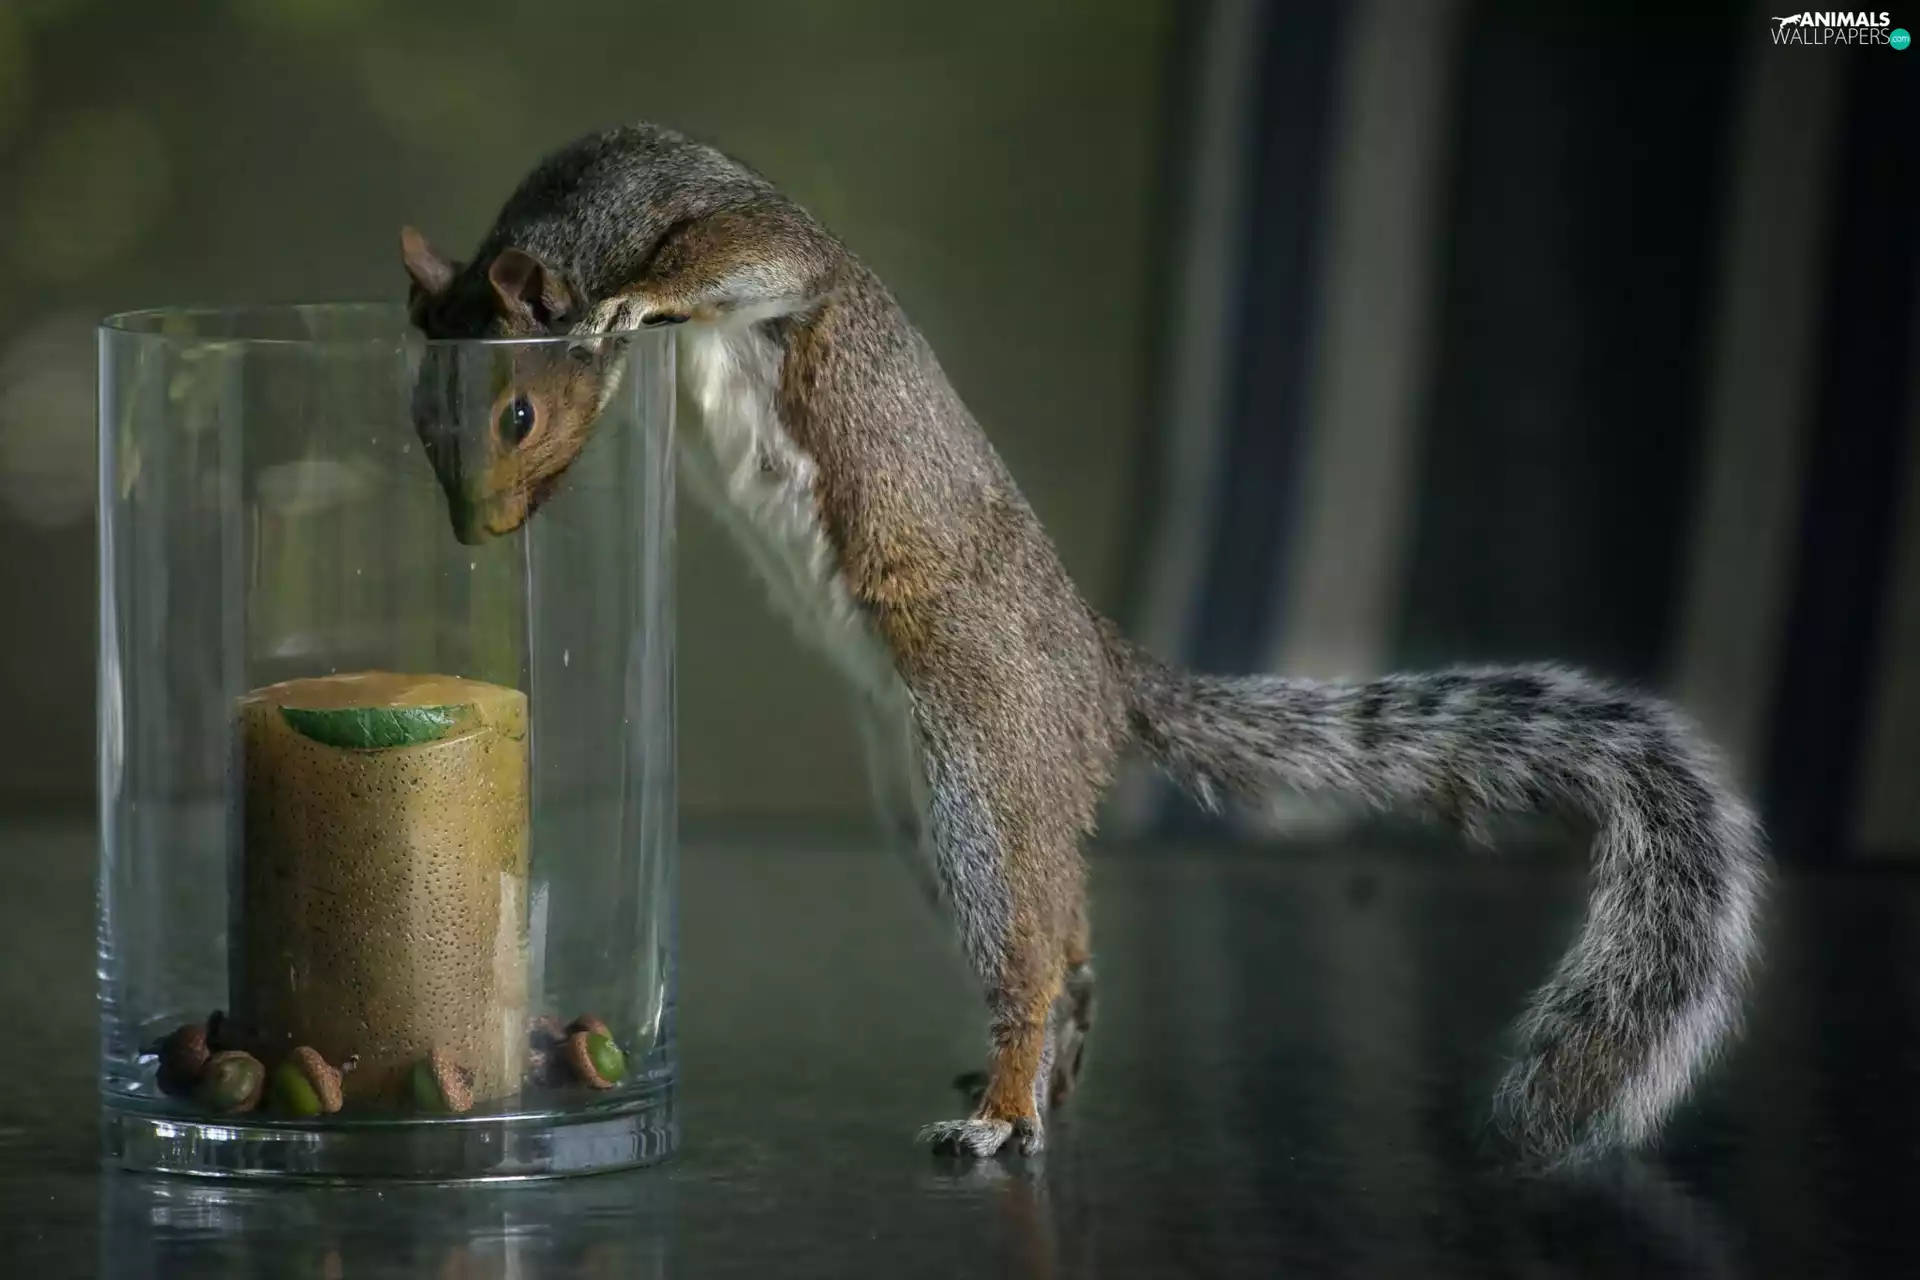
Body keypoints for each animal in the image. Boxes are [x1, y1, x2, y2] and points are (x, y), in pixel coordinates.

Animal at [400, 122, 1765, 1166]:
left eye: (518, 413)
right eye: (420, 416)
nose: (474, 533)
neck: (592, 199)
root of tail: (1099, 680)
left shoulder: (739, 222)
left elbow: (753, 258)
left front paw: (636, 300)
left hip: (979, 758)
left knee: (1031, 950)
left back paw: (1009, 1103)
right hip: (937, 791)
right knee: (1066, 942)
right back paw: (1044, 1076)